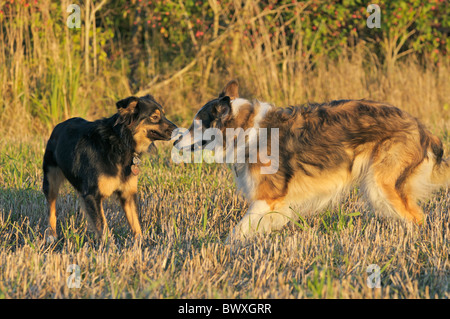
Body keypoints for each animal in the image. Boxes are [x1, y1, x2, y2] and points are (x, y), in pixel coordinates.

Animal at [42, 95, 176, 242]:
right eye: (154, 117)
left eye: (163, 114)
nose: (177, 129)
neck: (121, 143)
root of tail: (60, 125)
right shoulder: (92, 195)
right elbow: (102, 226)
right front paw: (108, 246)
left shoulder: (128, 193)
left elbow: (135, 223)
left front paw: (140, 244)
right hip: (51, 179)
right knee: (51, 207)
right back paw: (51, 235)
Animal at [175, 80, 450, 240]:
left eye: (196, 125)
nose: (175, 141)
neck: (245, 129)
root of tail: (422, 129)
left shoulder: (267, 199)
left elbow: (236, 232)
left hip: (381, 184)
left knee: (417, 219)